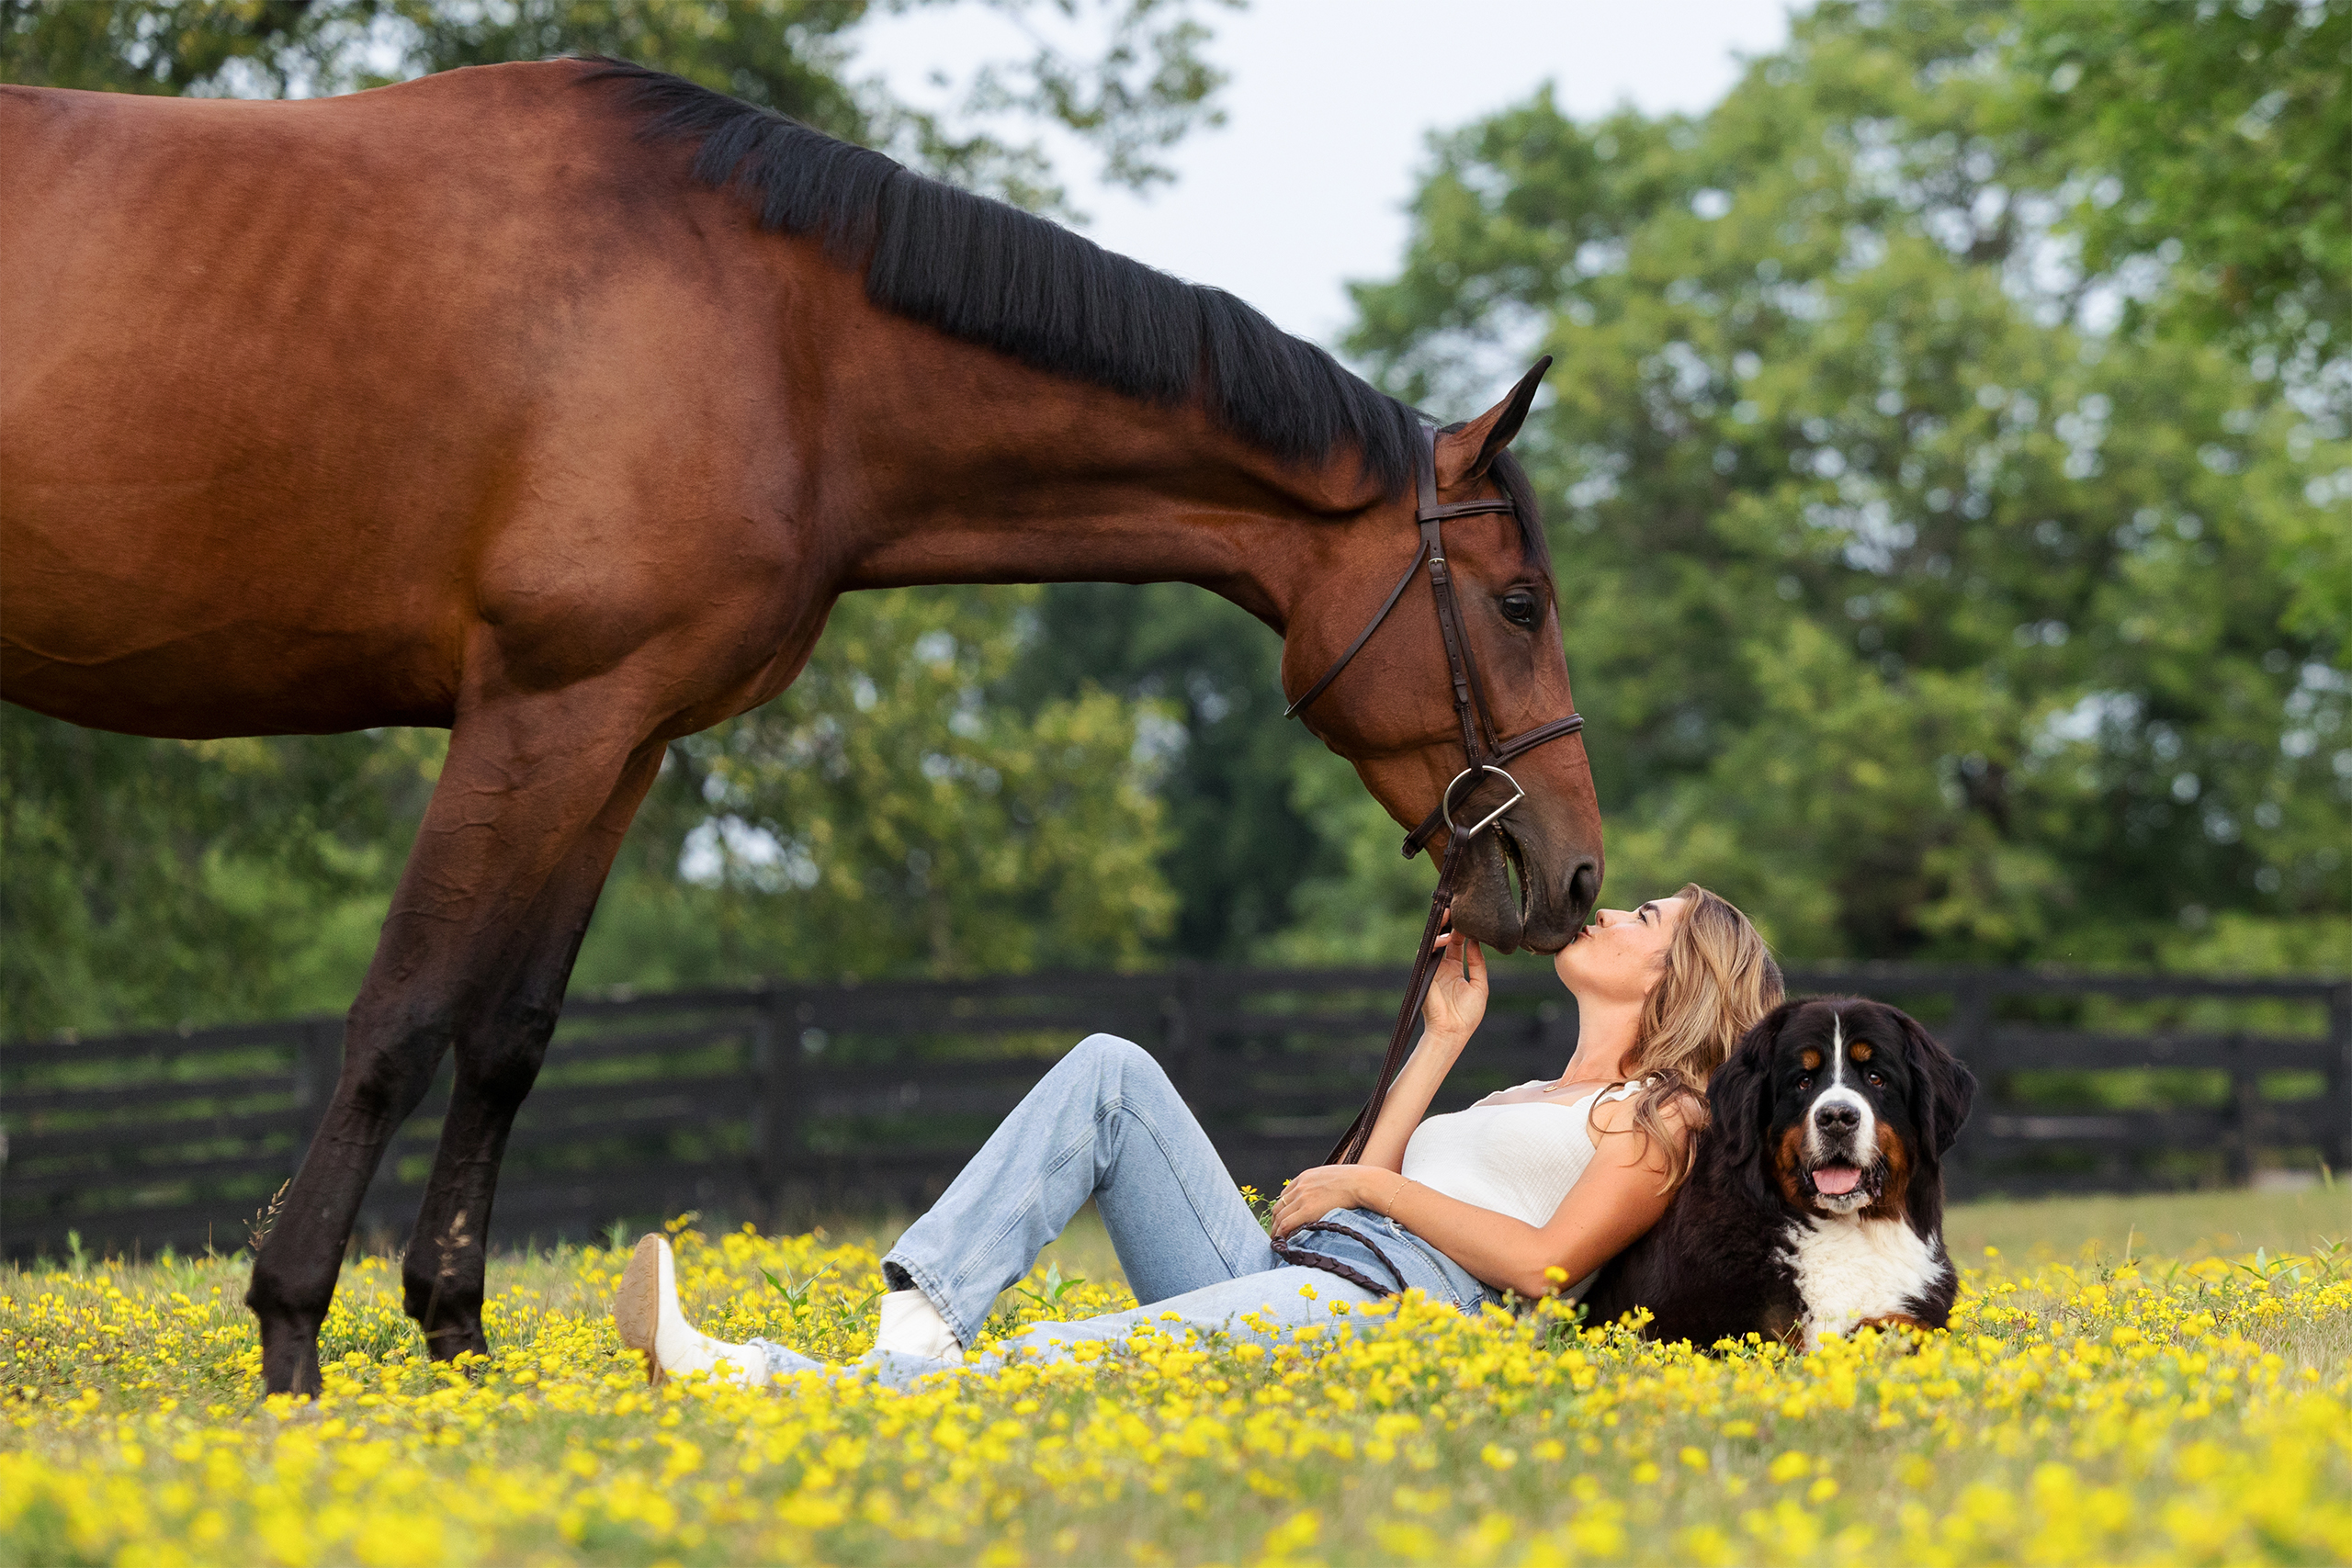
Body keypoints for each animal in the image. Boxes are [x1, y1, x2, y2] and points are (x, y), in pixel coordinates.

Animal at [0, 58, 1609, 1401]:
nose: (1577, 872)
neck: (779, 339)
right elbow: (403, 1015)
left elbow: (509, 1033)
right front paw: (291, 1335)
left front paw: (456, 1339)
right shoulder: (537, 710)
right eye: (1519, 600)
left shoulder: (621, 732)